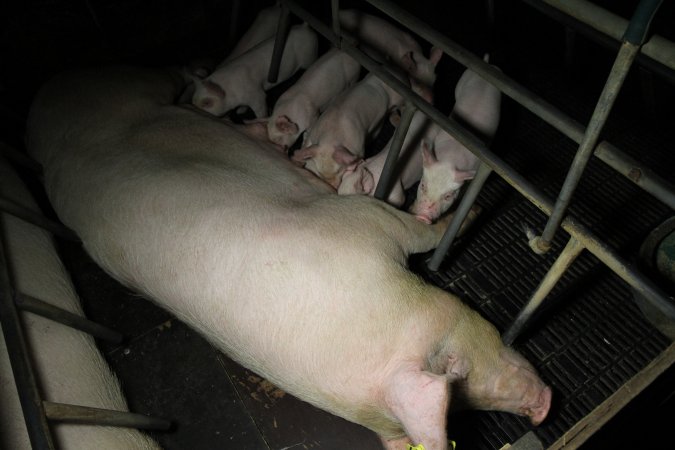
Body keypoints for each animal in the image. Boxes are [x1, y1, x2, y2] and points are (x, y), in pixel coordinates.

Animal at [406, 59, 502, 224]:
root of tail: (489, 65)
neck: (451, 158)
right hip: (462, 80)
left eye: (448, 196)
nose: (422, 217)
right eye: (423, 185)